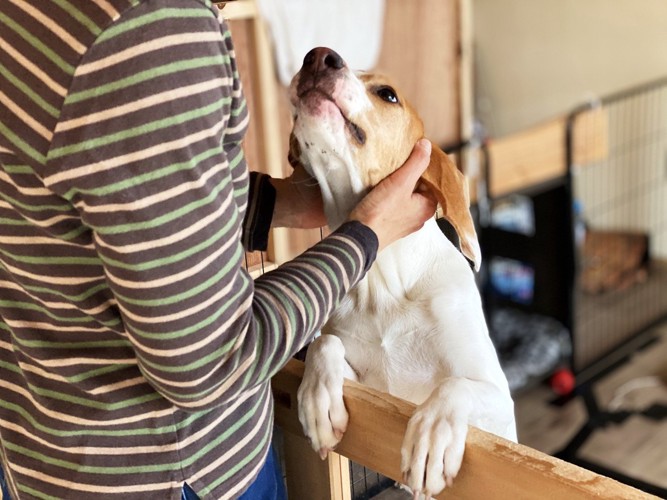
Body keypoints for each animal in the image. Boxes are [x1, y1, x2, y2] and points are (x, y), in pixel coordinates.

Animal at [288, 47, 516, 500]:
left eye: (388, 94)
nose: (317, 57)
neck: (384, 285)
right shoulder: (366, 386)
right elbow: (324, 344)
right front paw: (317, 399)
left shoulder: (500, 406)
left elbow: (454, 385)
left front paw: (432, 434)